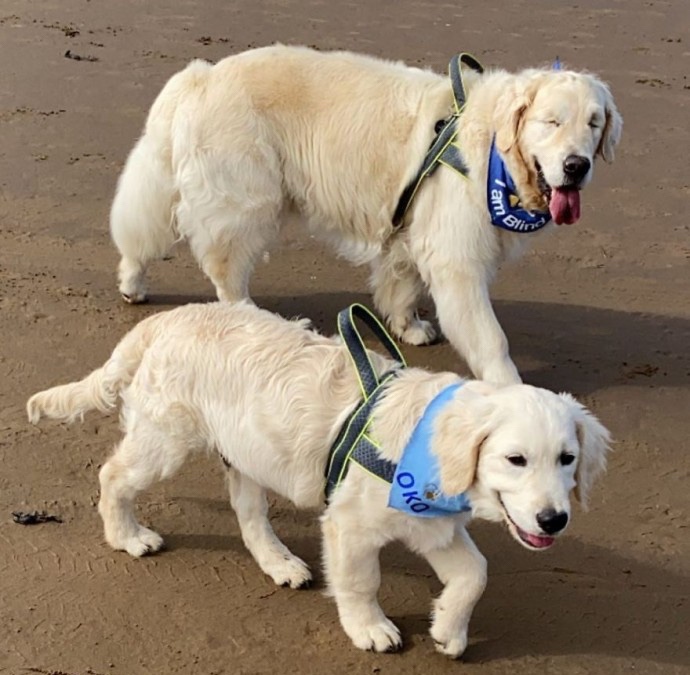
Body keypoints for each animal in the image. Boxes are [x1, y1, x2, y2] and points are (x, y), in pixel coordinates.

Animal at [28, 304, 608, 656]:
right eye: (515, 459)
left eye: (567, 459)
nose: (553, 520)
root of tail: (167, 318)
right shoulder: (350, 526)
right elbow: (359, 581)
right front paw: (370, 628)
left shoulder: (432, 525)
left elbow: (476, 574)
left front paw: (448, 629)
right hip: (165, 441)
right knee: (113, 475)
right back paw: (126, 535)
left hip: (248, 451)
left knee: (249, 515)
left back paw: (280, 563)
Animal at [109, 45, 620, 386]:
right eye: (552, 122)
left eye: (594, 123)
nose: (577, 166)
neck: (490, 146)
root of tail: (202, 75)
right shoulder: (457, 259)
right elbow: (491, 338)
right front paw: (512, 391)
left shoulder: (413, 233)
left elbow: (402, 285)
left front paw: (409, 328)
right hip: (247, 201)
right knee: (224, 270)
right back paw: (245, 313)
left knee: (142, 234)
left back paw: (133, 282)